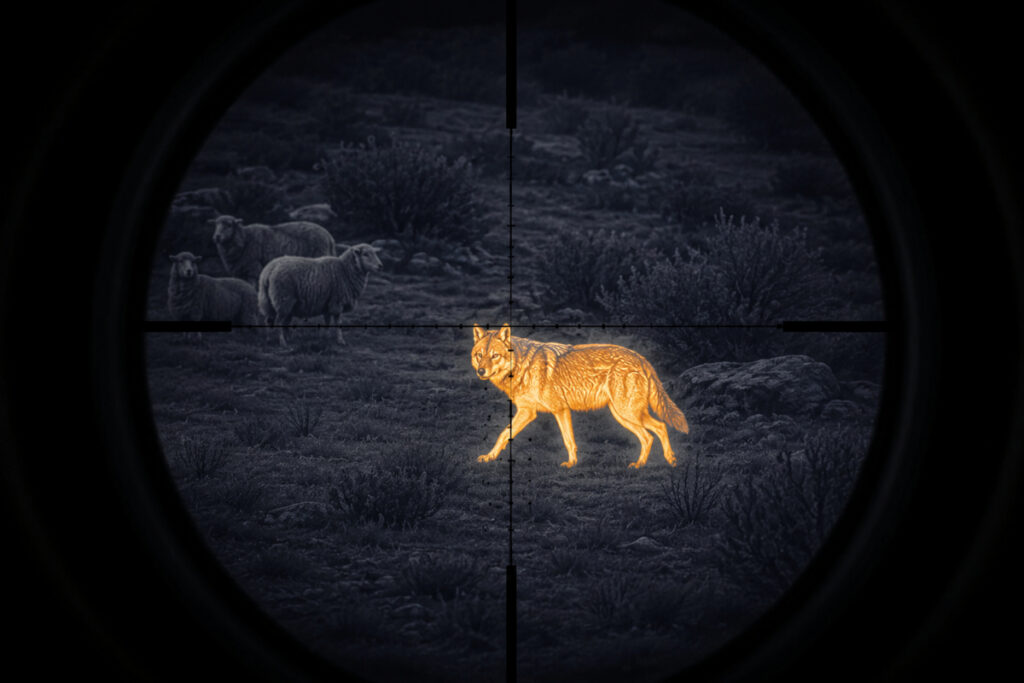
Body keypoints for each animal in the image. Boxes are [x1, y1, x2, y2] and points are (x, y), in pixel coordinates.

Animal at [471, 325, 690, 468]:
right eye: (479, 355)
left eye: (495, 356)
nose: (481, 371)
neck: (521, 367)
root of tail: (642, 358)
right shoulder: (530, 411)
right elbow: (503, 435)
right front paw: (489, 457)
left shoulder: (556, 410)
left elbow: (568, 440)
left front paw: (571, 464)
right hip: (622, 416)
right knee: (648, 437)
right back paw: (640, 465)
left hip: (628, 413)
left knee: (660, 427)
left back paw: (670, 460)